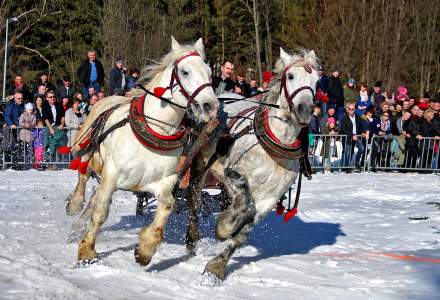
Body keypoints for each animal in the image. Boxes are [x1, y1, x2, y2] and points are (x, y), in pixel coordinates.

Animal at [65, 37, 220, 264]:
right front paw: (87, 250)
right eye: (185, 72)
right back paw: (74, 205)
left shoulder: (163, 181)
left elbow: (167, 205)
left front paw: (146, 248)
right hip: (86, 152)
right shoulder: (112, 174)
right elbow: (101, 212)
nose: (211, 106)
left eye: (209, 72)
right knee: (83, 178)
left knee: (94, 196)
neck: (154, 130)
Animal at [184, 48, 318, 280]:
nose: (304, 110)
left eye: (317, 80)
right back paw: (192, 238)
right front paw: (224, 226)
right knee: (194, 197)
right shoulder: (232, 172)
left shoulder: (268, 201)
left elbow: (243, 233)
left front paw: (216, 267)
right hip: (201, 162)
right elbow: (244, 199)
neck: (276, 145)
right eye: (291, 76)